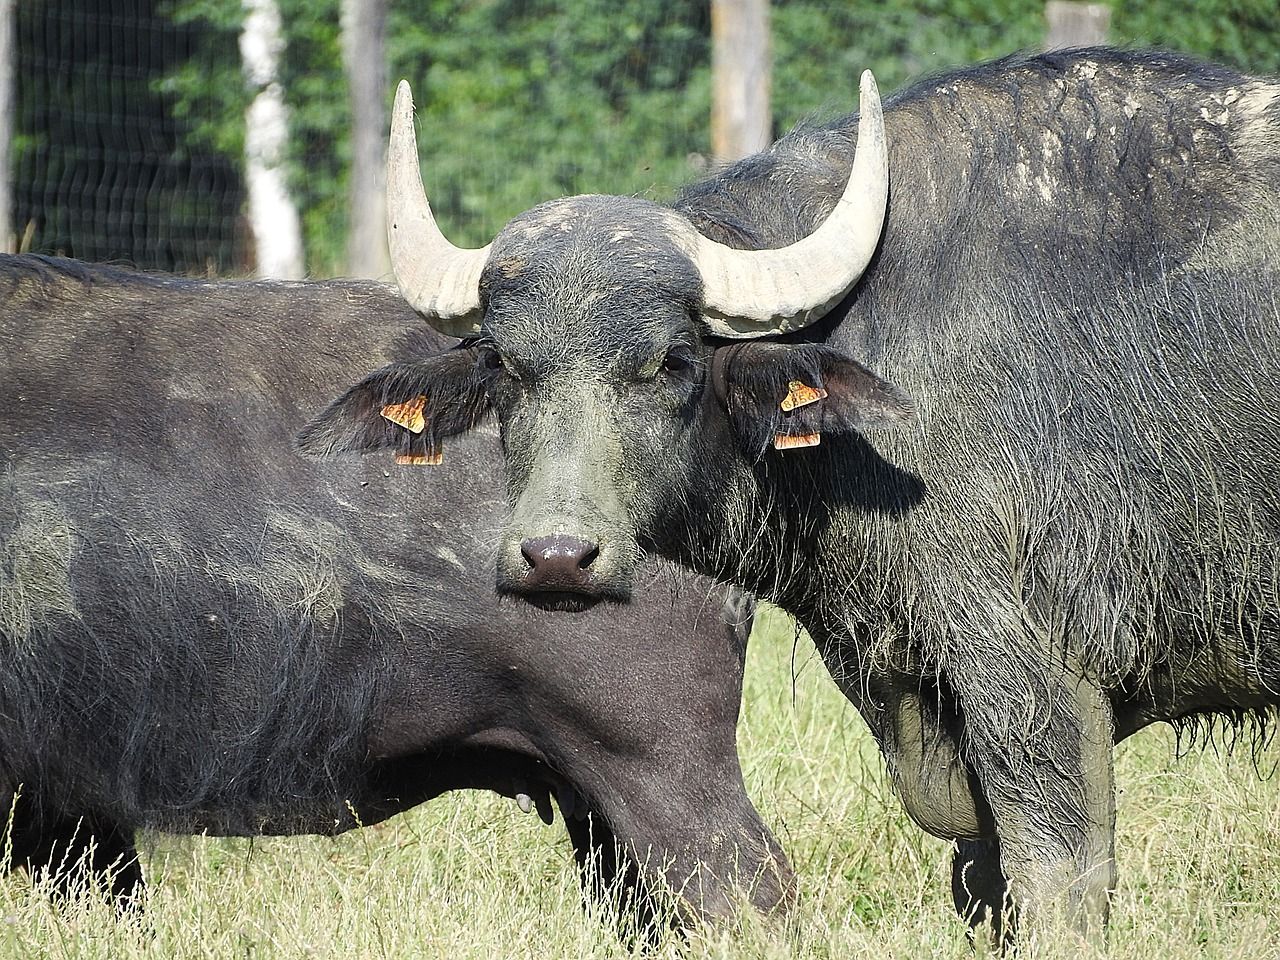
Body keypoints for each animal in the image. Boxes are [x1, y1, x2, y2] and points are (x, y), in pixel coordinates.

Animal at [304, 47, 1280, 942]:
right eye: (506, 367)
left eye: (671, 361)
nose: (555, 557)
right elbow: (982, 877)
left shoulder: (1032, 664)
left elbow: (1056, 871)